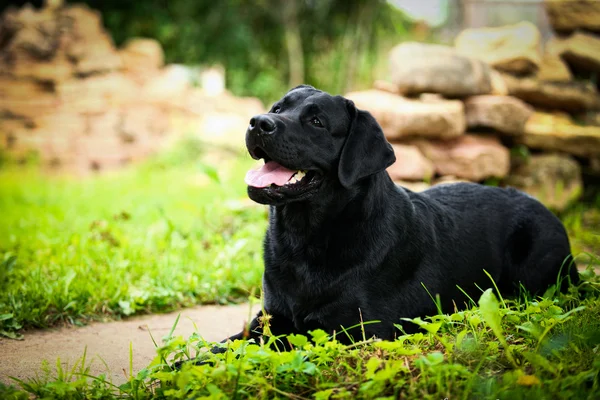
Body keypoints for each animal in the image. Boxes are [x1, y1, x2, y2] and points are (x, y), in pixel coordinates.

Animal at [224, 85, 576, 346]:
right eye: (277, 109)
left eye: (317, 122)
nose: (259, 122)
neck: (304, 240)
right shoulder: (269, 319)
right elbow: (229, 344)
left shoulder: (354, 332)